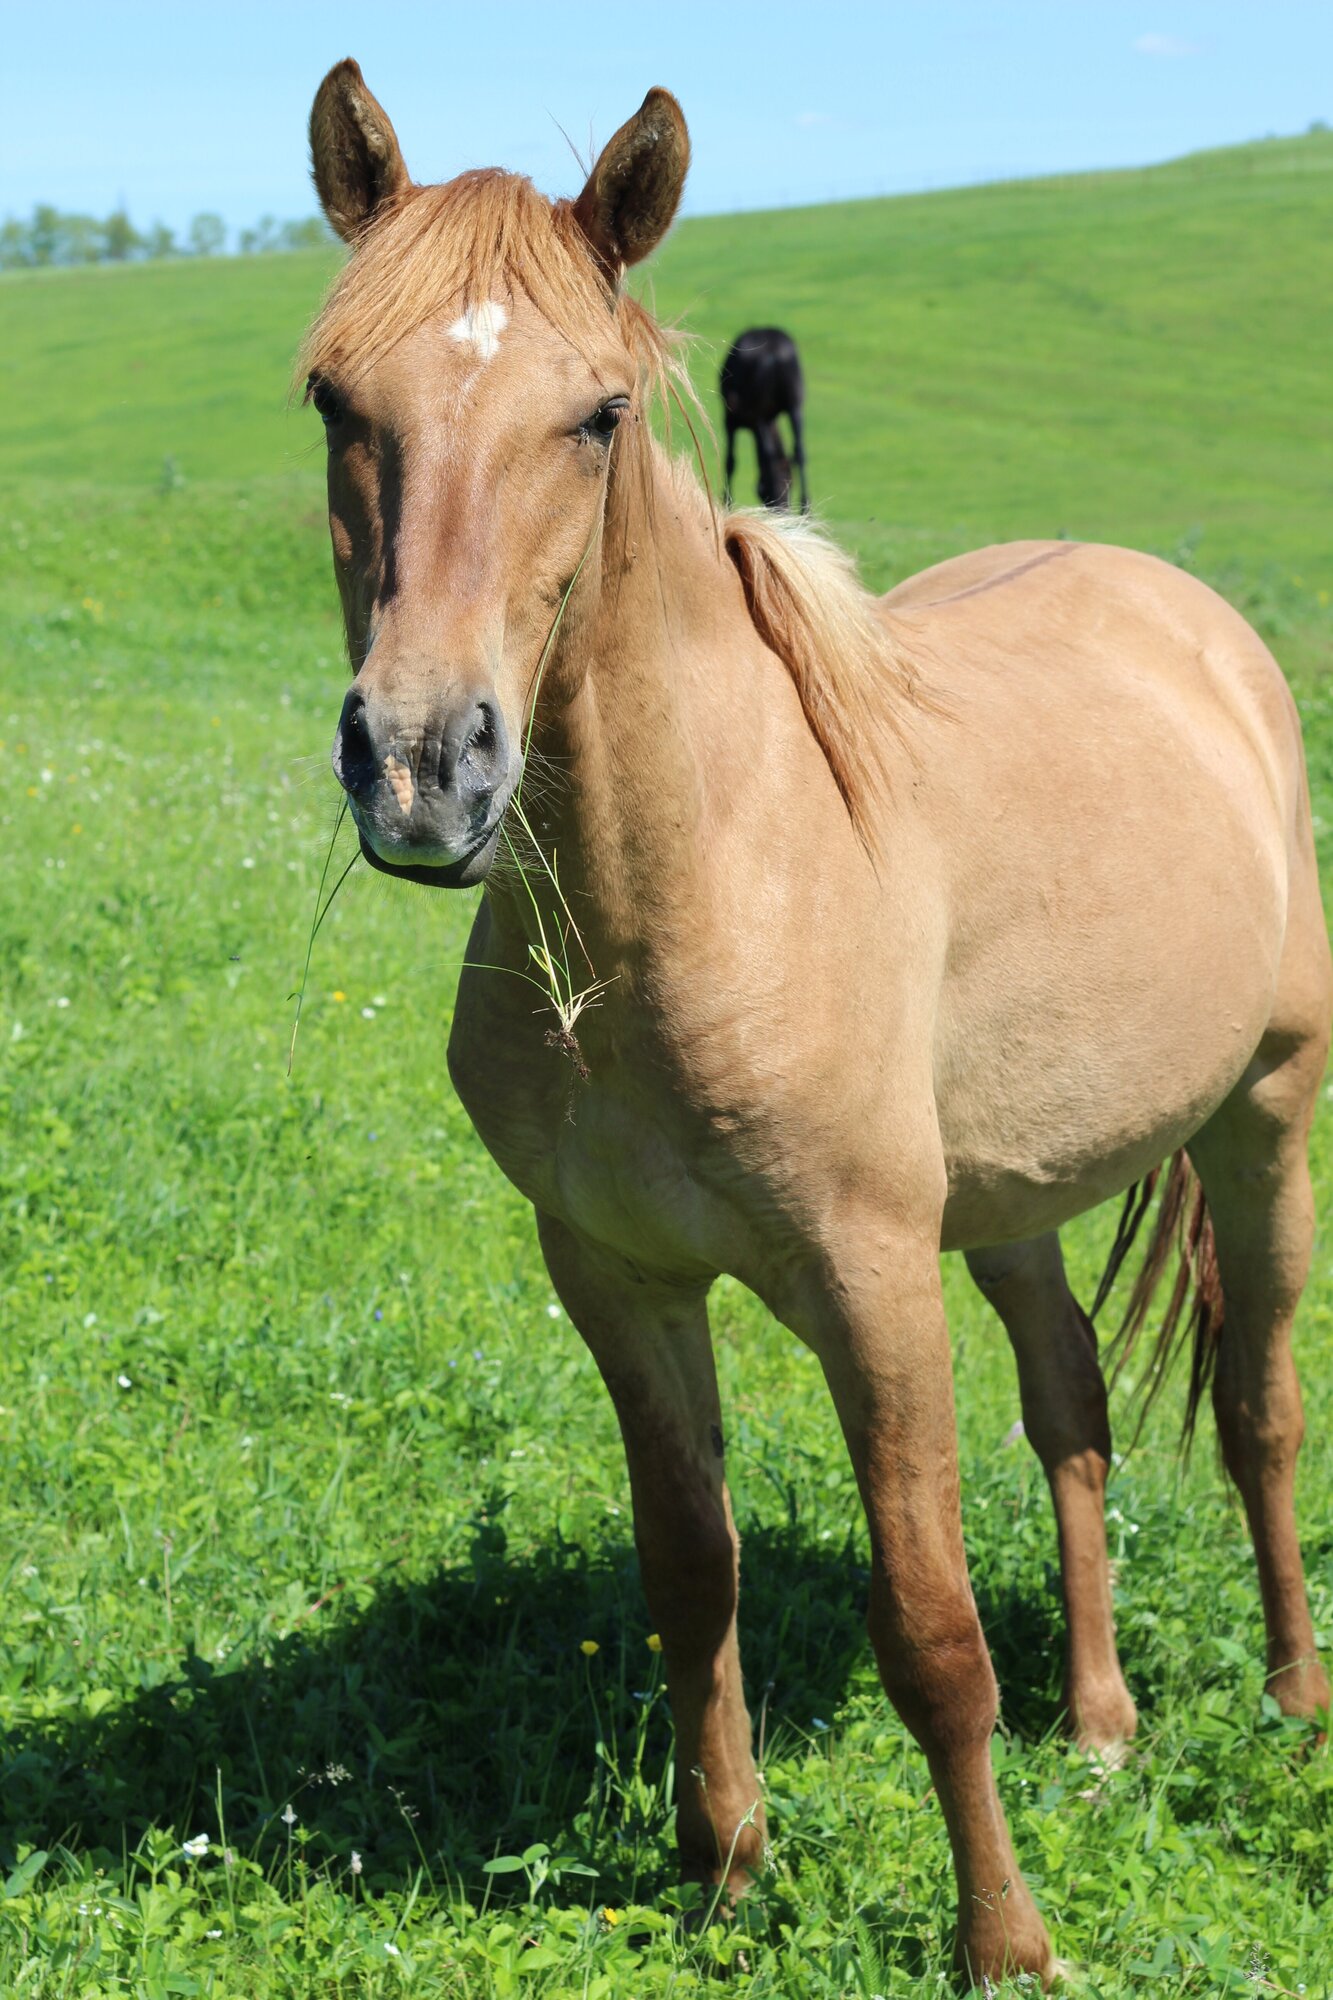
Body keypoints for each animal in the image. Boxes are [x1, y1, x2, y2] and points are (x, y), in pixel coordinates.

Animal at [720, 324, 804, 512]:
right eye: (790, 481)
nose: (784, 508)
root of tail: (776, 353)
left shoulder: (730, 419)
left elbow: (730, 460)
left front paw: (726, 503)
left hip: (759, 407)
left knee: (769, 454)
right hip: (795, 402)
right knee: (800, 450)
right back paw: (806, 509)